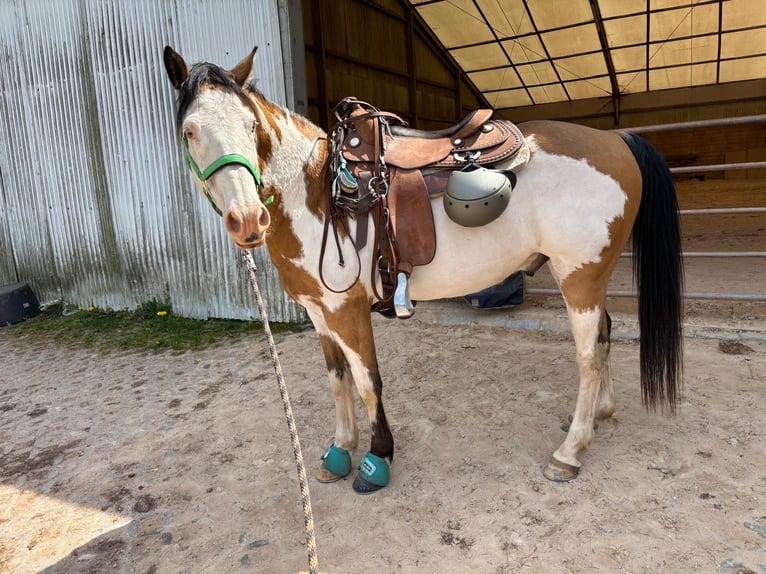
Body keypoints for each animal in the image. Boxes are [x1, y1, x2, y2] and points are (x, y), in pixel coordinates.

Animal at [162, 45, 683, 494]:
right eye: (189, 131)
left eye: (251, 126)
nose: (248, 220)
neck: (314, 192)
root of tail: (614, 138)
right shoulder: (318, 312)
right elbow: (337, 379)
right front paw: (339, 452)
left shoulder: (346, 310)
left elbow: (367, 382)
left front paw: (376, 460)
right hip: (590, 276)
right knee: (605, 334)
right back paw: (599, 416)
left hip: (579, 277)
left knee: (588, 357)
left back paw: (570, 452)